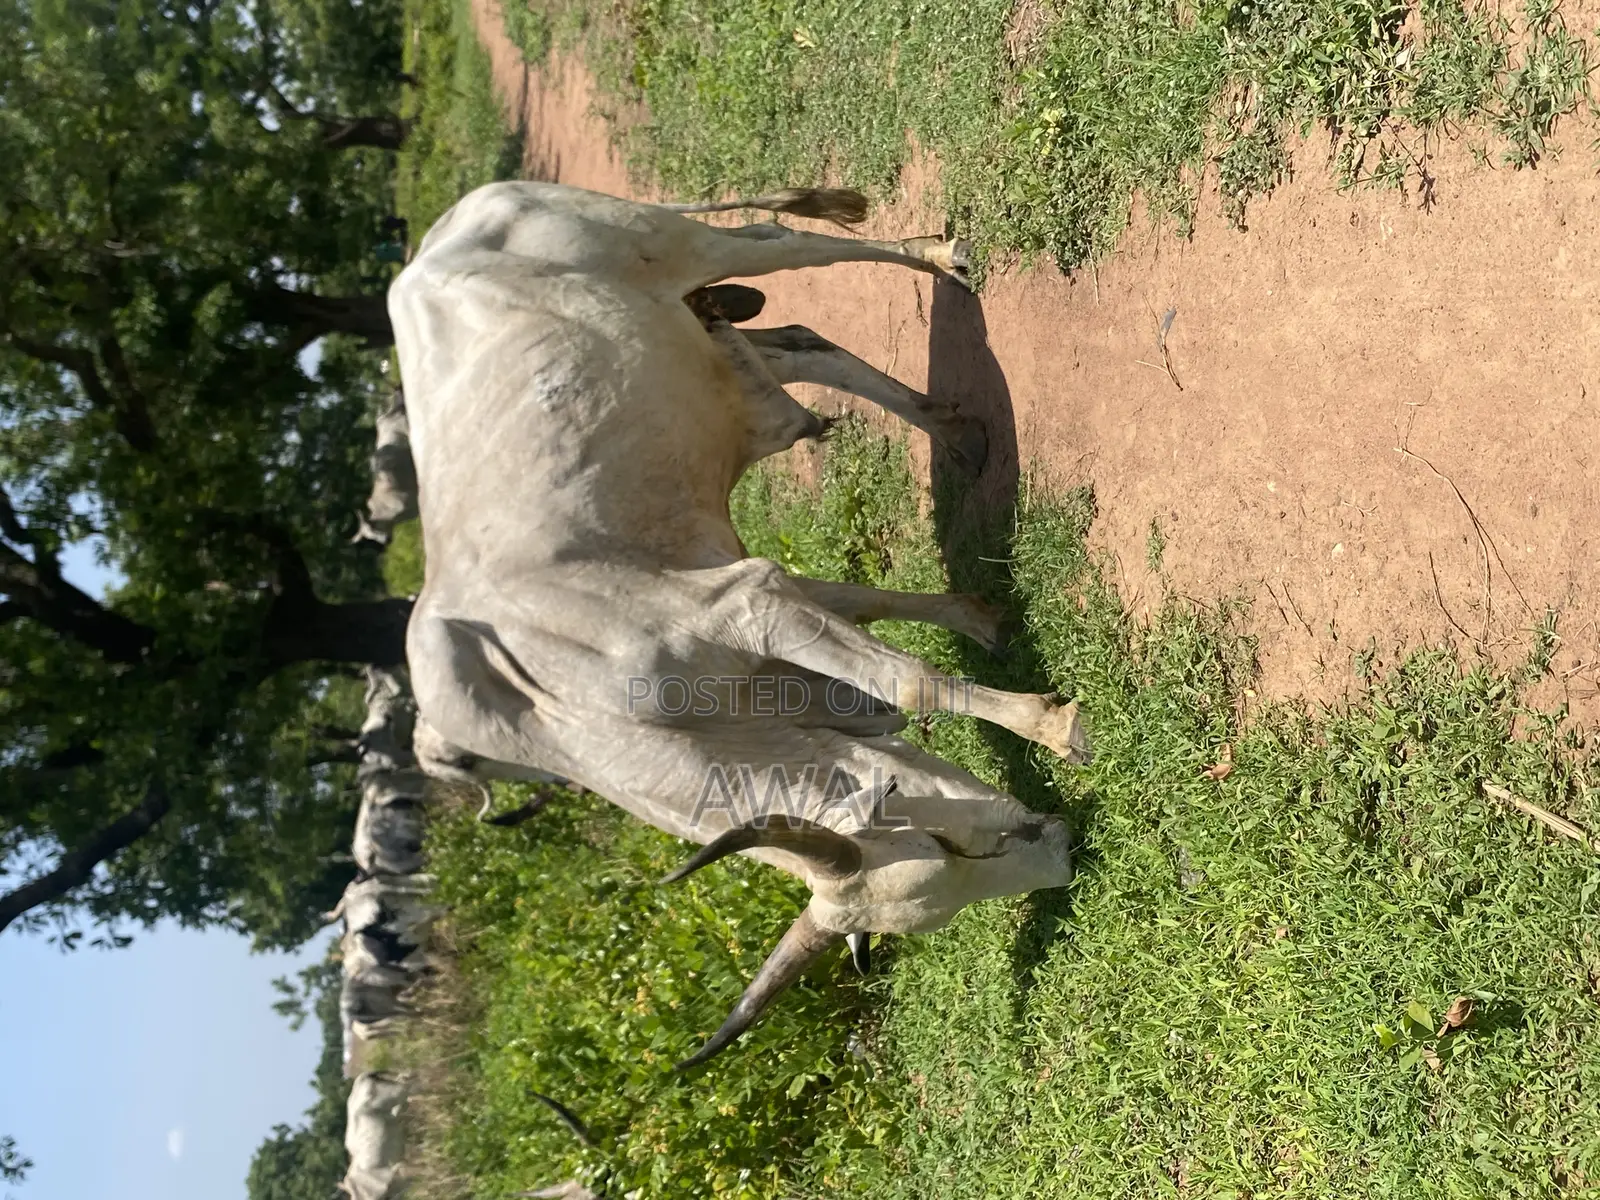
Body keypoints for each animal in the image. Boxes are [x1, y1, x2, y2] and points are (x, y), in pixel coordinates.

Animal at [390, 181, 1091, 1067]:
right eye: (951, 855)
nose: (1061, 851)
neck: (565, 699)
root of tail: (452, 228)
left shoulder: (743, 607)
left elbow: (909, 679)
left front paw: (1057, 726)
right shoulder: (759, 608)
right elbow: (870, 620)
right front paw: (983, 621)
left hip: (678, 246)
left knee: (780, 241)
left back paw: (941, 259)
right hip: (706, 348)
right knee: (797, 343)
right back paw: (956, 432)